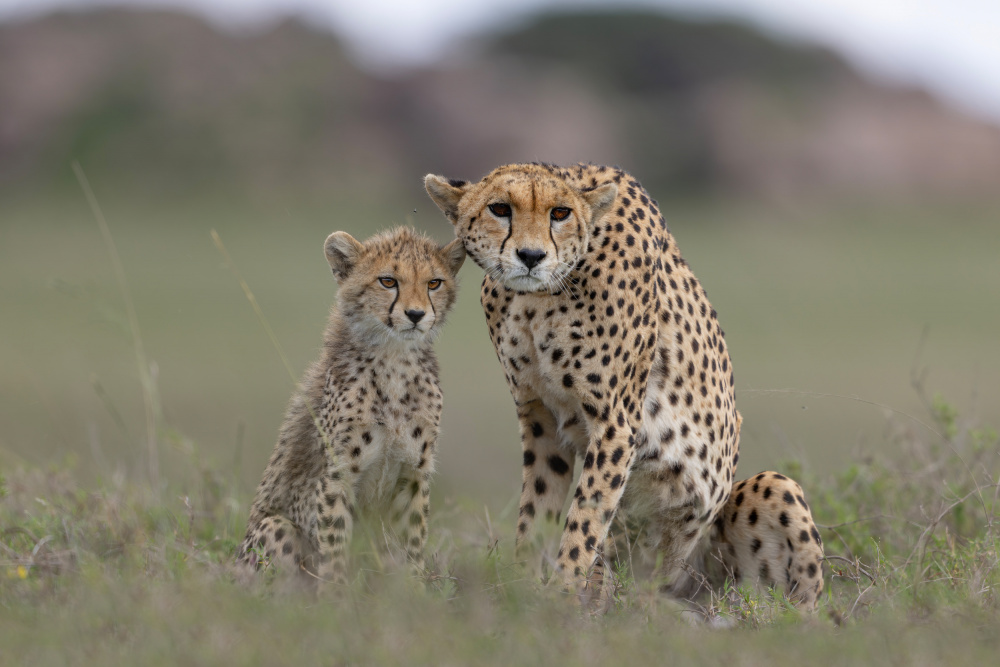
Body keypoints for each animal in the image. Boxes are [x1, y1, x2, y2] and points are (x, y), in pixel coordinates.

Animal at [237, 228, 464, 588]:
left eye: (434, 283)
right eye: (388, 281)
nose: (416, 315)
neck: (394, 360)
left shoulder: (414, 473)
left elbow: (411, 540)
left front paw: (412, 590)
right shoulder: (337, 475)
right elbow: (334, 542)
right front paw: (336, 594)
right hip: (275, 527)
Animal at [426, 164, 824, 608]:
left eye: (560, 213)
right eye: (499, 209)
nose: (531, 257)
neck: (537, 299)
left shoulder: (615, 421)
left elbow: (586, 516)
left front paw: (563, 593)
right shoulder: (540, 417)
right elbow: (537, 509)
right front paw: (521, 588)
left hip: (769, 493)